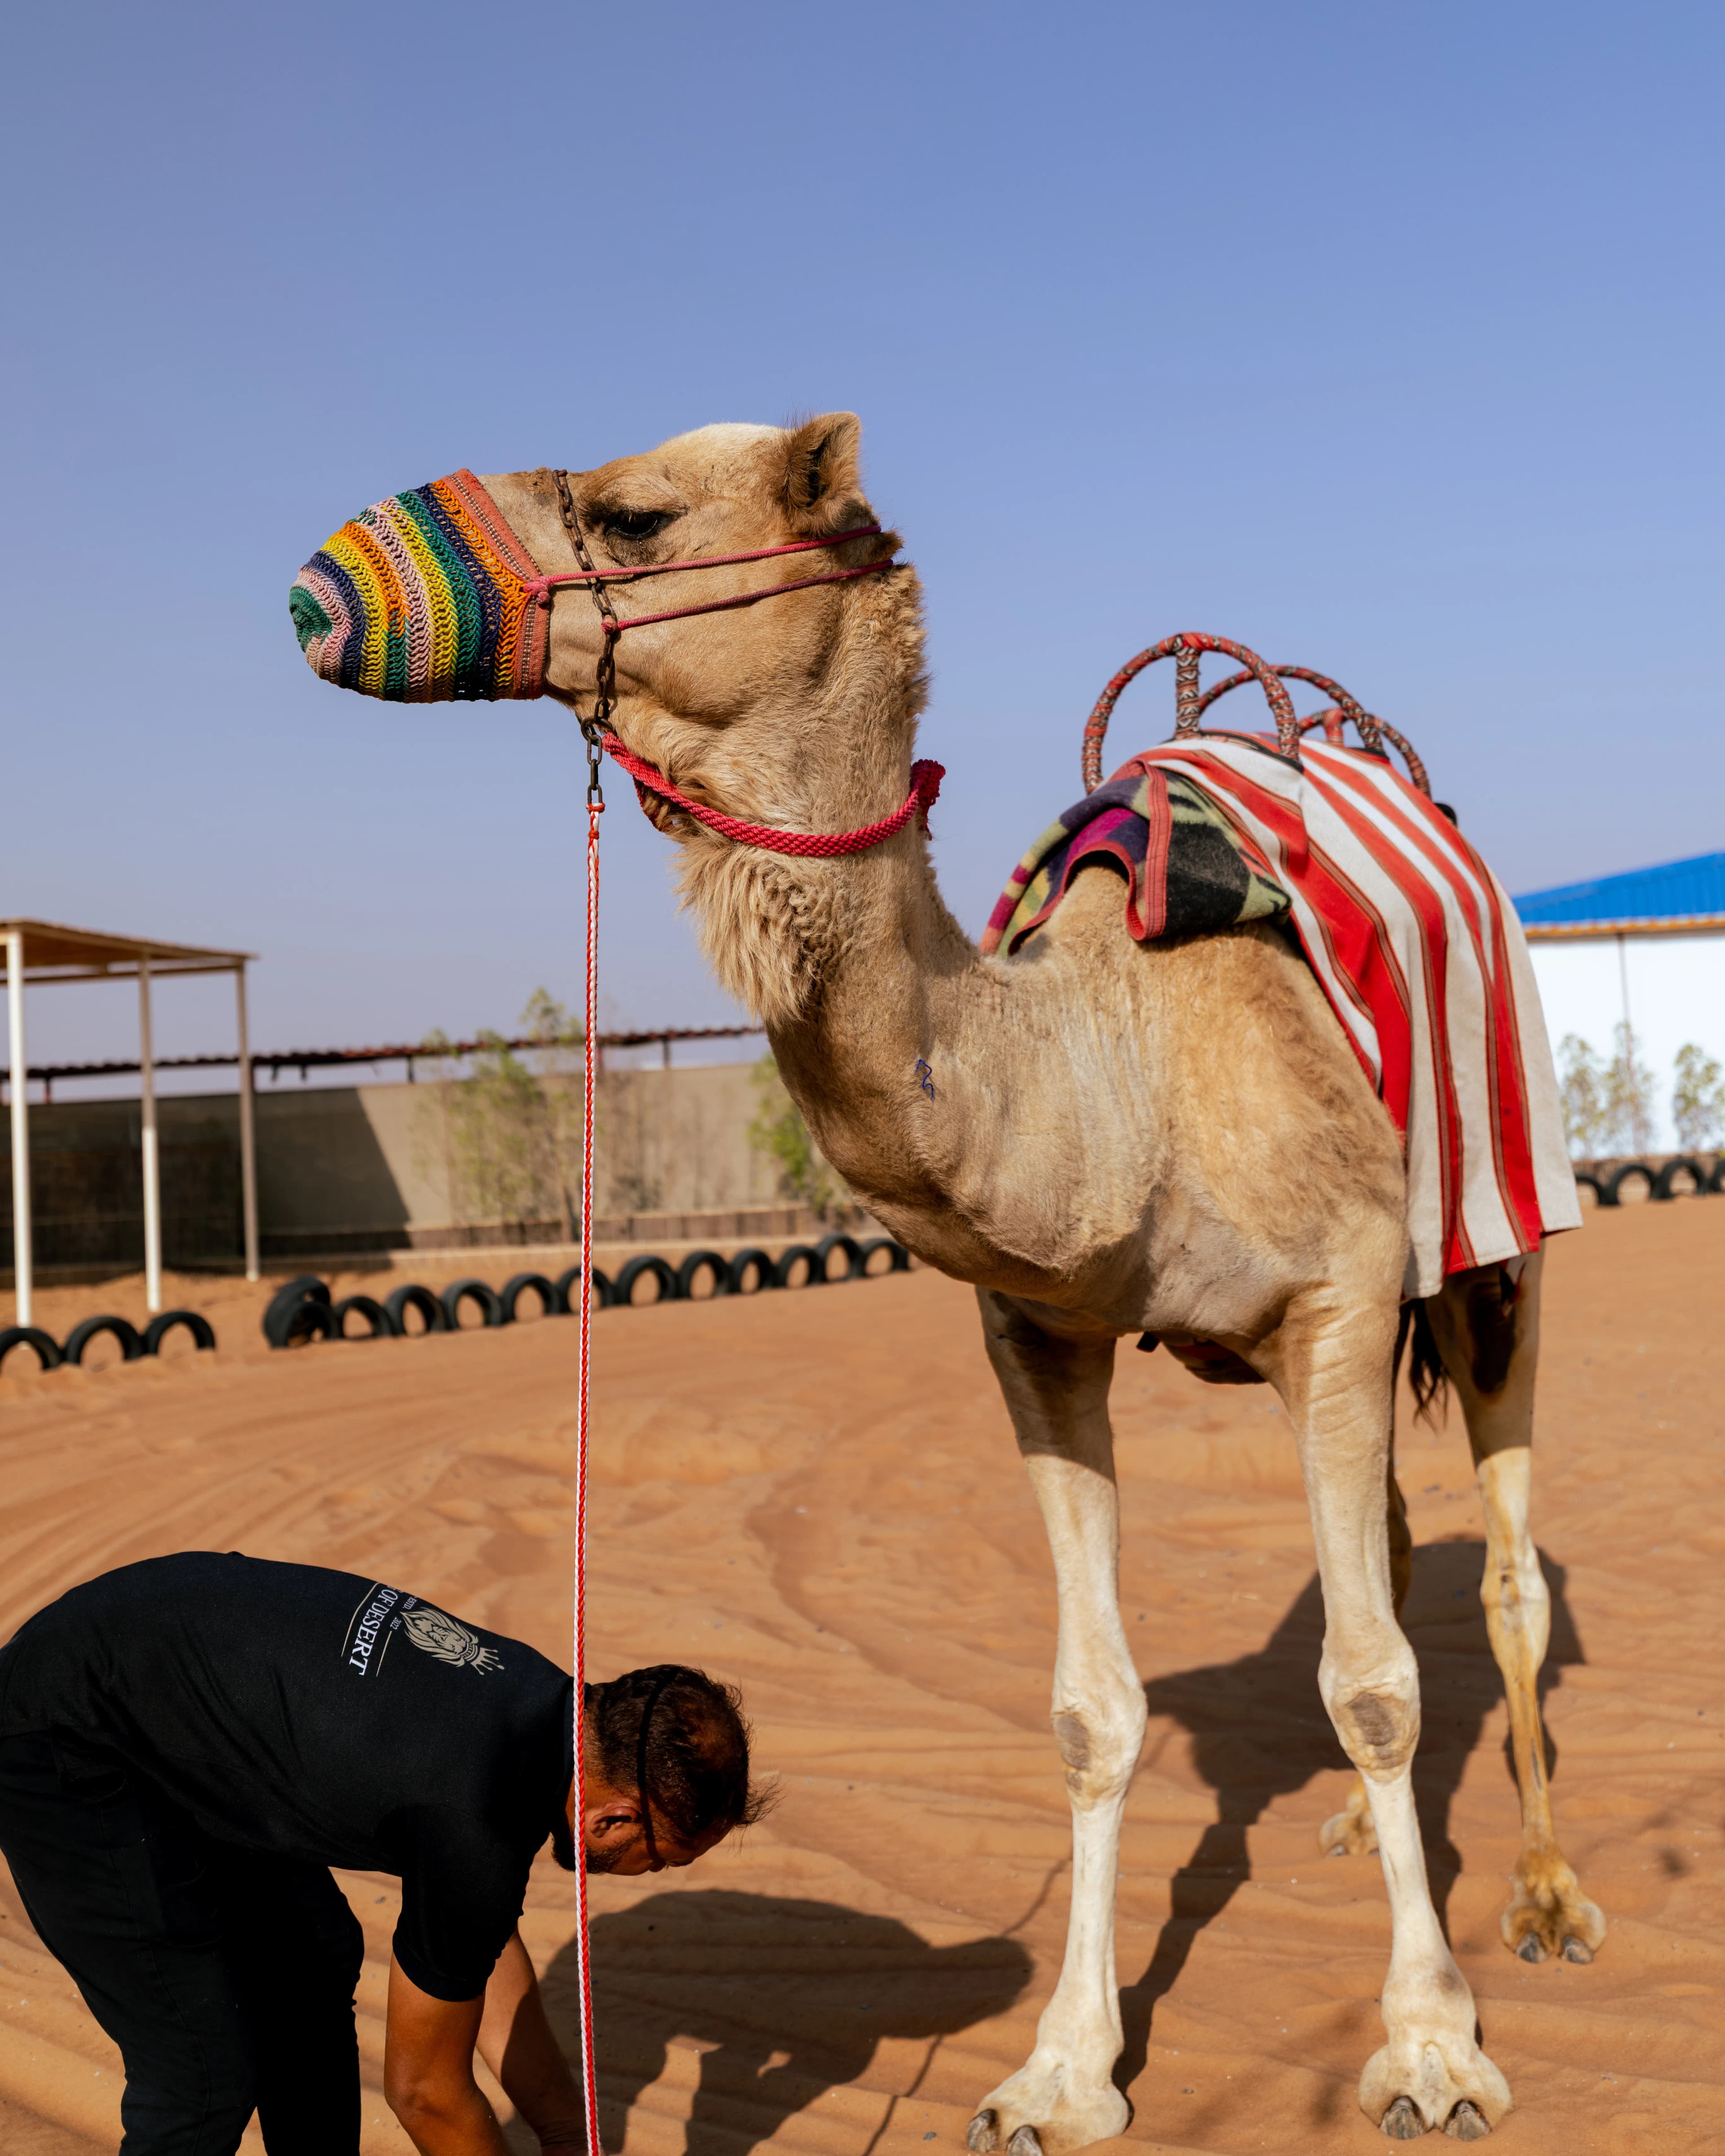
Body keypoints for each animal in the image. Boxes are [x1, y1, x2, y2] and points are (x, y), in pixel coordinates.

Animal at [346, 418, 1606, 2142]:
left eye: (634, 511)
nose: (334, 576)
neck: (1111, 1063)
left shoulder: (1344, 1293)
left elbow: (1372, 1683)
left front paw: (1426, 2047)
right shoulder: (1042, 1333)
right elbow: (1094, 1709)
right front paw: (1057, 2072)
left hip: (1491, 1242)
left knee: (1503, 1574)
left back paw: (1542, 1894)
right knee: (1401, 1550)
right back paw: (1365, 1836)